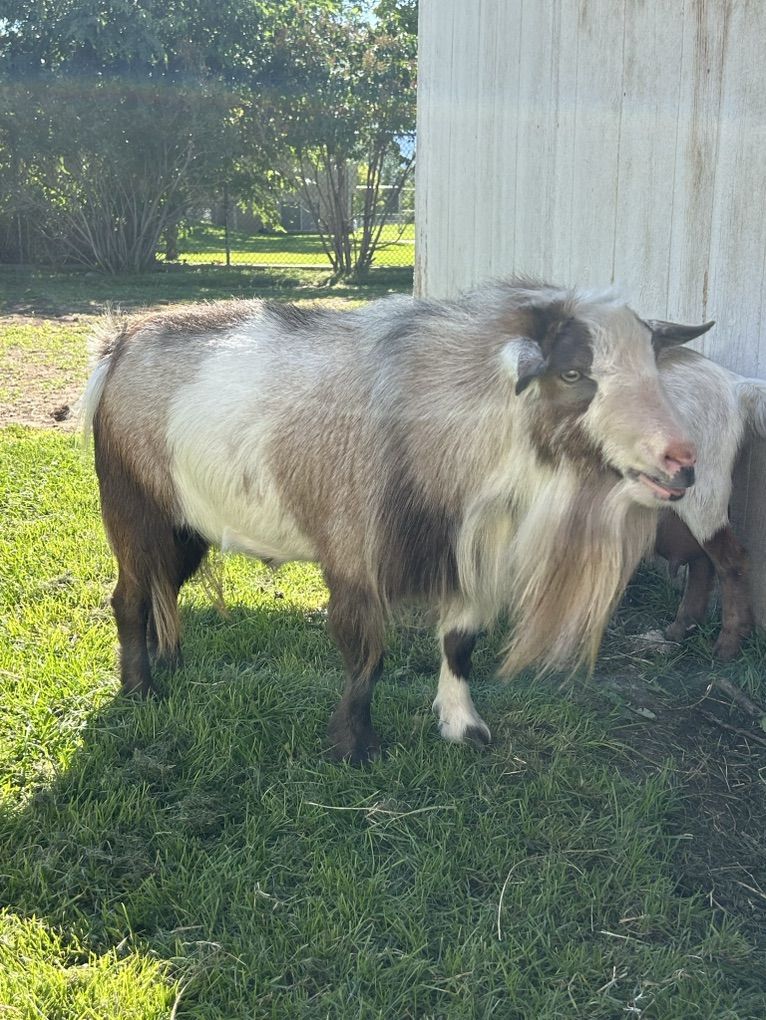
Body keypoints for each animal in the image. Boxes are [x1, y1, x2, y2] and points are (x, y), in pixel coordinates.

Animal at [82, 280, 710, 762]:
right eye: (575, 374)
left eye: (655, 367)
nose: (681, 462)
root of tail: (120, 344)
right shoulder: (357, 559)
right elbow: (367, 656)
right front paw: (356, 747)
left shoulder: (467, 555)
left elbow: (459, 643)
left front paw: (463, 727)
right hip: (136, 511)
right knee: (130, 595)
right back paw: (142, 689)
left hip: (186, 529)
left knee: (163, 587)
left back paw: (169, 660)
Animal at [653, 346, 766, 659]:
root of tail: (735, 385)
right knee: (703, 560)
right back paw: (680, 628)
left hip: (703, 489)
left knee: (730, 559)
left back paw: (727, 646)